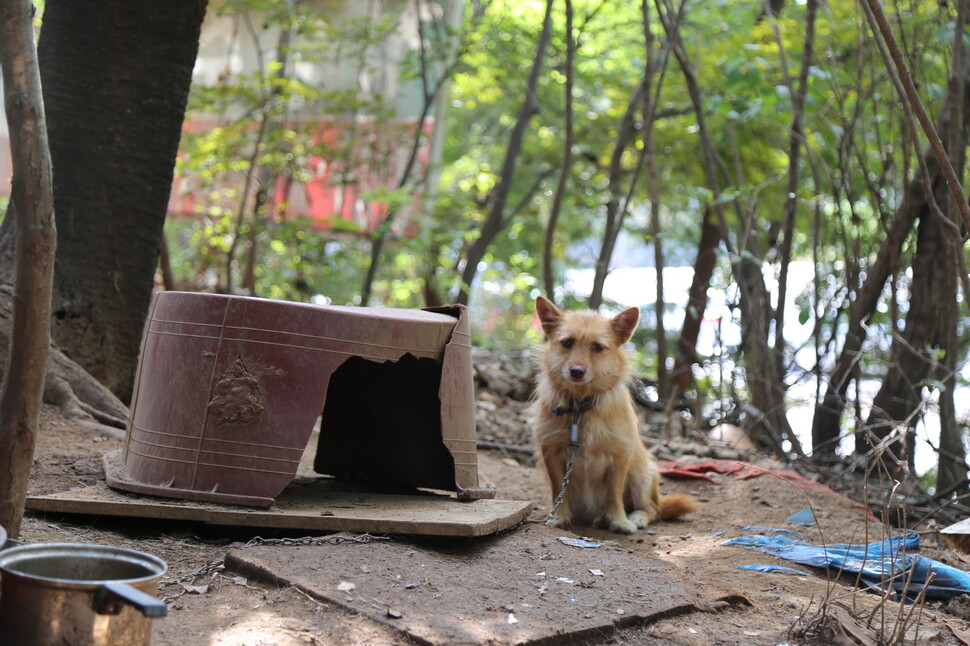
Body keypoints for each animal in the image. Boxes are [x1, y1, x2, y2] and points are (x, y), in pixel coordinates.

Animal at [528, 296, 696, 536]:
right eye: (567, 342)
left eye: (598, 347)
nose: (576, 371)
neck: (580, 407)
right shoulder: (550, 453)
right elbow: (559, 490)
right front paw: (559, 516)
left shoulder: (620, 457)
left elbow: (614, 495)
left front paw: (619, 521)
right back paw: (599, 519)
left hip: (642, 475)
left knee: (653, 509)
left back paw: (635, 517)